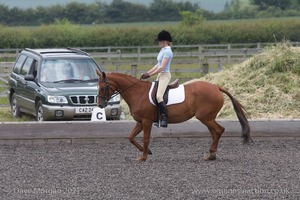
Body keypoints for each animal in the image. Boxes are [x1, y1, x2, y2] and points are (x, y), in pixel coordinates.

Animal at [96, 71, 251, 162]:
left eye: (103, 87)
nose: (100, 105)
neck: (137, 93)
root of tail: (216, 87)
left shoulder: (146, 121)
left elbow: (145, 139)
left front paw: (143, 157)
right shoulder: (140, 122)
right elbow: (131, 137)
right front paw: (148, 152)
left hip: (205, 118)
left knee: (218, 131)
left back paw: (211, 155)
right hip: (208, 118)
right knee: (215, 133)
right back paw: (211, 154)